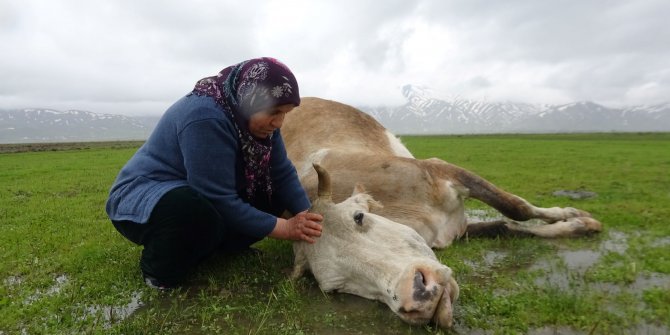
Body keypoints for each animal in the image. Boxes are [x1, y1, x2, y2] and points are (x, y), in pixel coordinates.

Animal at [282, 97, 604, 249]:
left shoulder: (442, 169)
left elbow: (516, 209)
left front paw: (577, 217)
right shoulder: (456, 229)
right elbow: (505, 225)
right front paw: (580, 224)